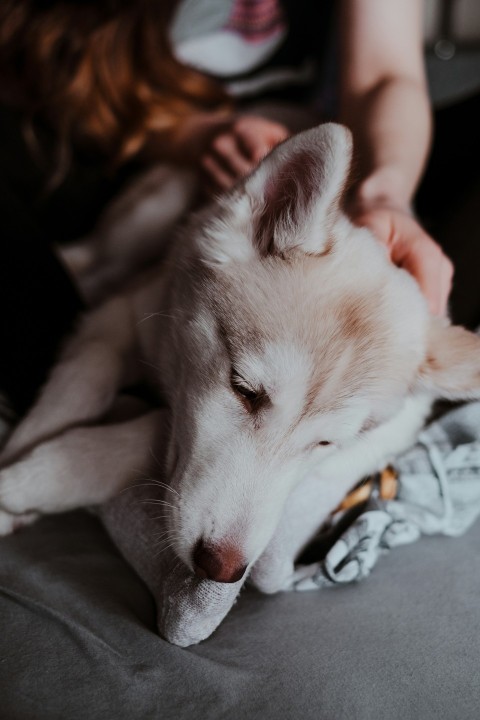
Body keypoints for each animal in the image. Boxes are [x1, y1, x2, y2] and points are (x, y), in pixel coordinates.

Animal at [0, 125, 480, 584]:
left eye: (325, 444)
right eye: (244, 390)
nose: (222, 569)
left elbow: (150, 426)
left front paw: (35, 481)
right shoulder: (118, 320)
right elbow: (75, 391)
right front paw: (20, 462)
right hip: (141, 223)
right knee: (89, 258)